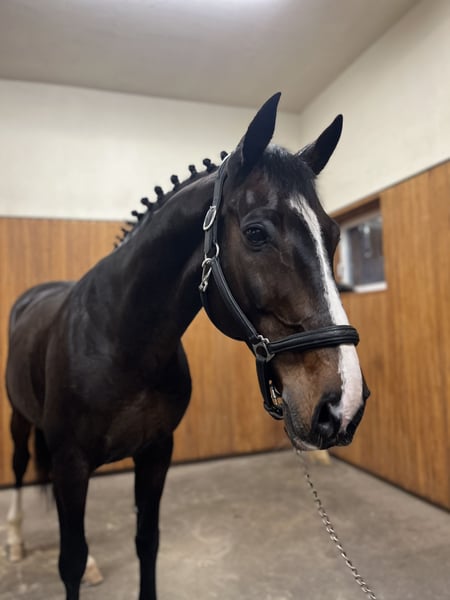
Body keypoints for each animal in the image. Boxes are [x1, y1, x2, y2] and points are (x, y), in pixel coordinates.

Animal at [4, 93, 369, 600]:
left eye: (333, 236)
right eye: (256, 233)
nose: (343, 403)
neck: (122, 344)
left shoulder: (156, 453)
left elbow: (146, 542)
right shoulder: (72, 463)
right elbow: (70, 563)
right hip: (22, 422)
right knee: (20, 468)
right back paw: (16, 541)